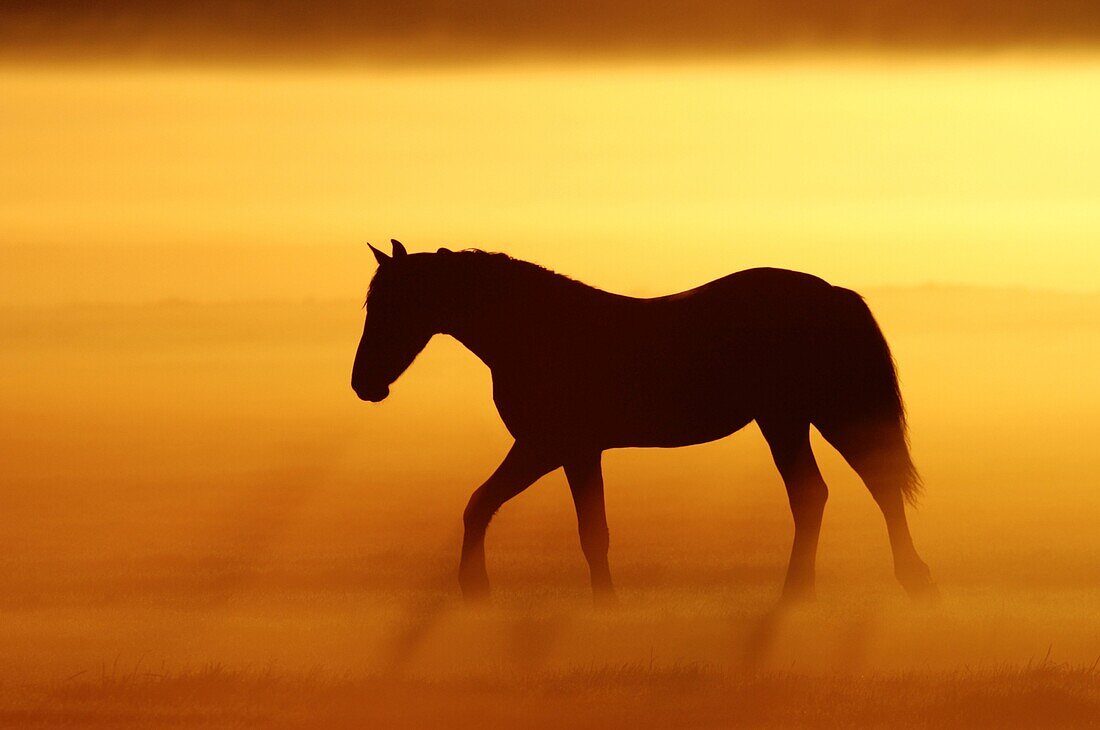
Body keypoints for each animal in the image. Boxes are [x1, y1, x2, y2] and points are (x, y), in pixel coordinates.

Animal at [354, 239, 937, 602]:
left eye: (393, 306)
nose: (364, 385)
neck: (539, 331)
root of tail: (833, 292)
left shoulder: (557, 447)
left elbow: (585, 530)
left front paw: (601, 604)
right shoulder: (556, 449)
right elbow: (482, 505)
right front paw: (477, 591)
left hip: (815, 416)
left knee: (861, 487)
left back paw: (892, 581)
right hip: (796, 419)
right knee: (831, 491)